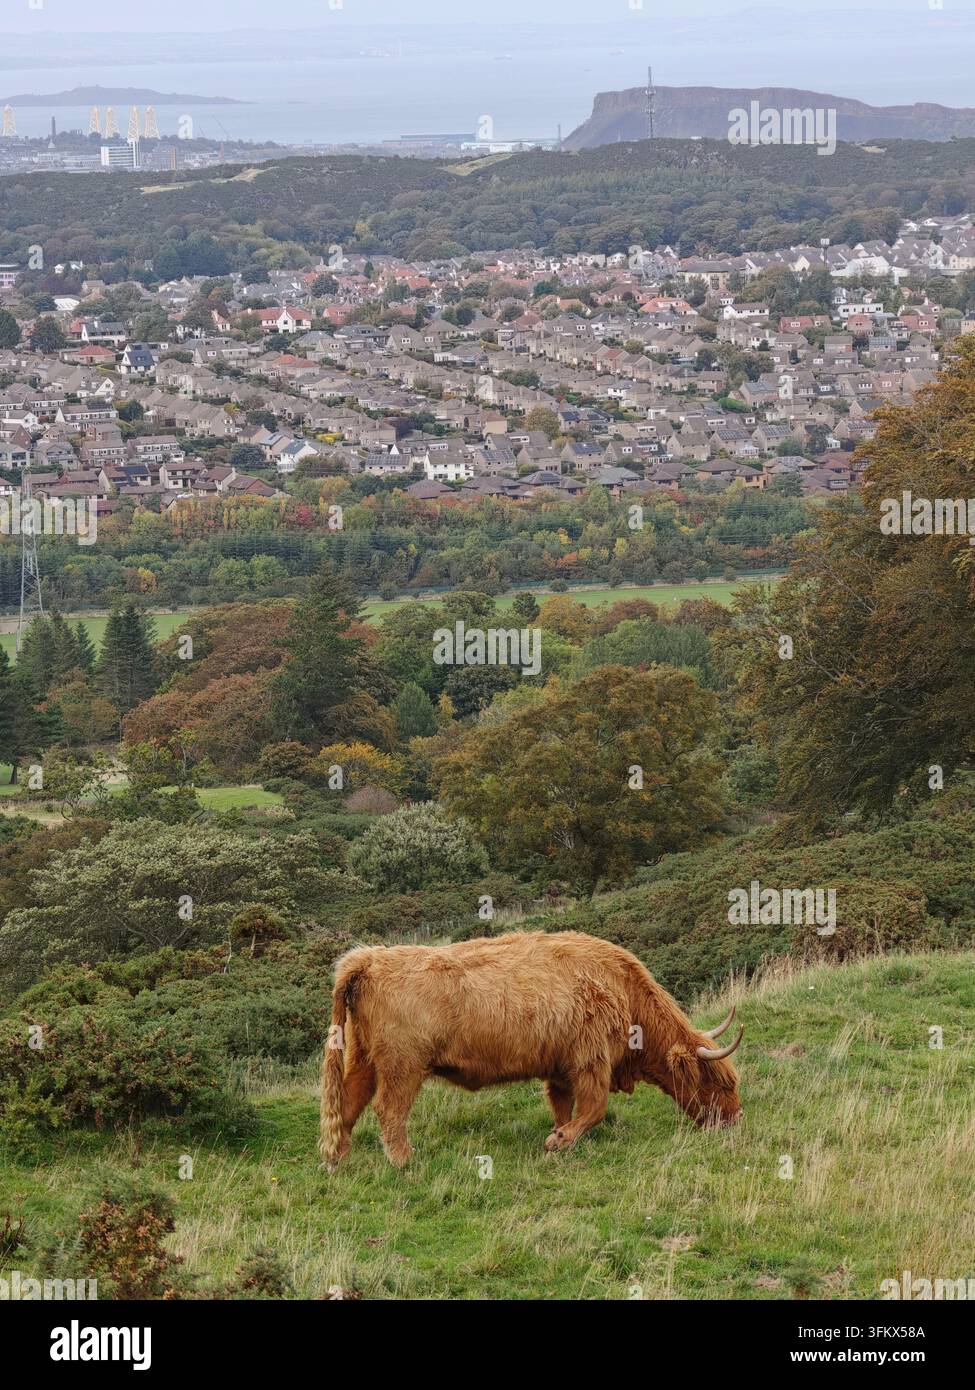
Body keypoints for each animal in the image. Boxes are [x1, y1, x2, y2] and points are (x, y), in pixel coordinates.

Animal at [319, 930, 743, 1168]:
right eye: (719, 1084)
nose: (736, 1119)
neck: (622, 989)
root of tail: (369, 958)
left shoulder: (561, 1069)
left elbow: (565, 1107)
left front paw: (562, 1135)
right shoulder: (591, 1060)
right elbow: (595, 1109)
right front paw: (559, 1142)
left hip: (362, 1058)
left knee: (350, 1102)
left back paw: (338, 1158)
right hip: (403, 1065)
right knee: (388, 1109)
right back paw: (403, 1160)